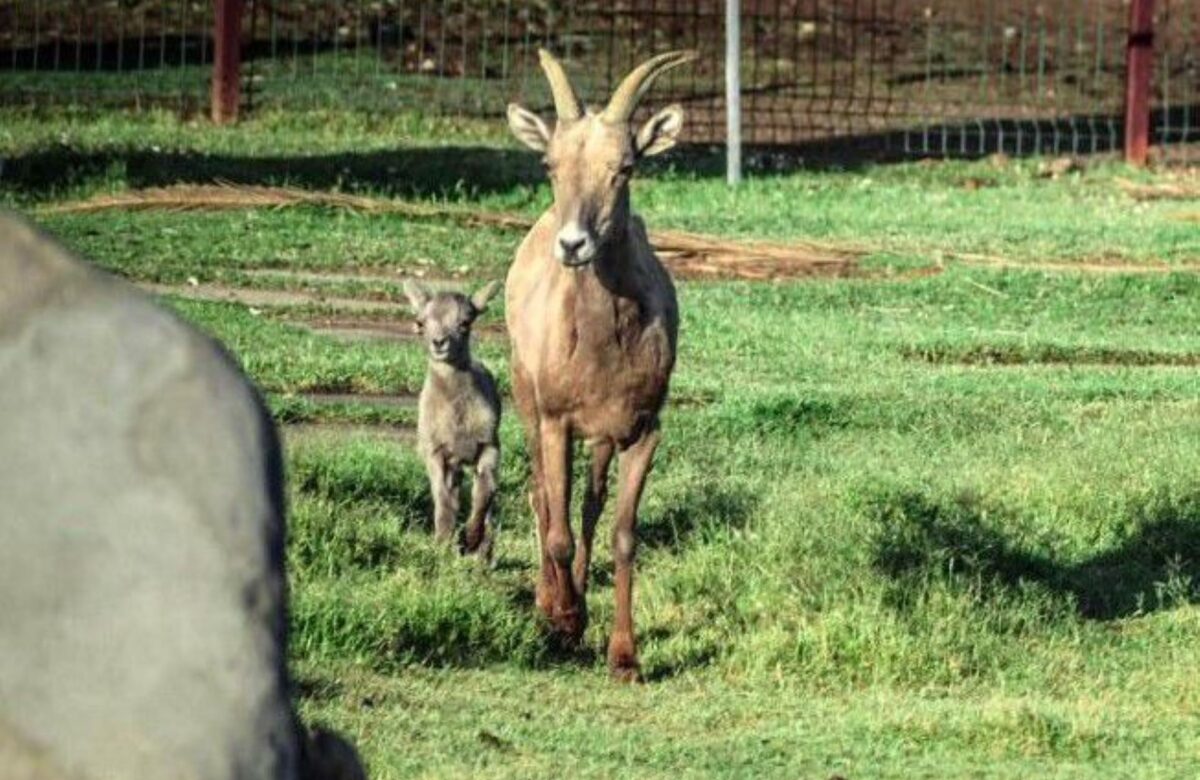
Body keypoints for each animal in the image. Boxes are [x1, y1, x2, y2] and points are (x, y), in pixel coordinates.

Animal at [405, 278, 504, 552]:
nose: (439, 342)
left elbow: (485, 491)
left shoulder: (489, 445)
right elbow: (443, 499)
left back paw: (484, 549)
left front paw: (472, 536)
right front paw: (444, 541)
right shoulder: (435, 451)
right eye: (421, 323)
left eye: (465, 322)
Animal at [504, 50, 696, 681]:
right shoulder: (556, 420)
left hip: (603, 438)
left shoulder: (642, 429)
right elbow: (557, 527)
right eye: (549, 163)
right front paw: (562, 619)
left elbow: (621, 533)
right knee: (542, 493)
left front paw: (625, 657)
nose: (573, 244)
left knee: (589, 501)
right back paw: (552, 601)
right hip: (526, 397)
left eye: (626, 167)